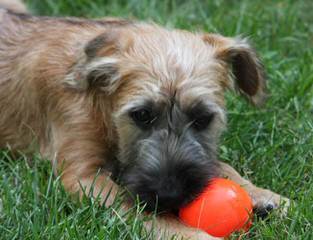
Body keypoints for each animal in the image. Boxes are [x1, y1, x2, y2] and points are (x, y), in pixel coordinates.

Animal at [0, 0, 288, 239]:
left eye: (203, 118)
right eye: (141, 115)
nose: (172, 194)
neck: (101, 99)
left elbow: (223, 165)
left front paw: (265, 195)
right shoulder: (83, 176)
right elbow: (140, 208)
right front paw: (189, 233)